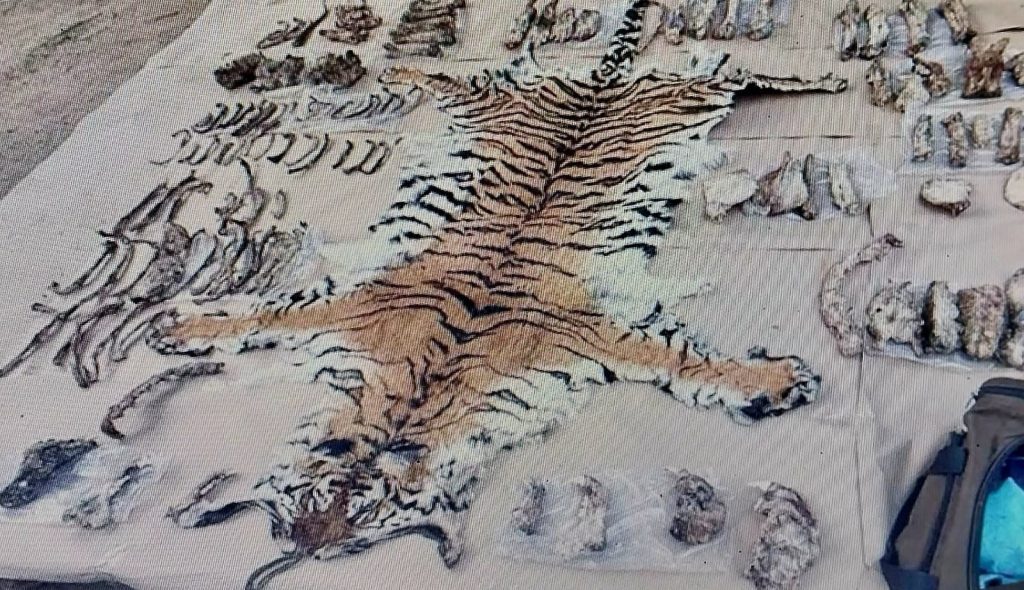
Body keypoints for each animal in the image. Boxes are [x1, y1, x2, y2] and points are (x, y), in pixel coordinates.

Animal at [27, 1, 847, 587]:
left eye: (366, 523)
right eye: (298, 516)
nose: (296, 557)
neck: (422, 381)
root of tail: (599, 82)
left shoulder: (593, 330)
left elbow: (683, 360)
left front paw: (775, 379)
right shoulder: (349, 304)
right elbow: (261, 314)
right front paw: (185, 328)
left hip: (683, 87)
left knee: (747, 75)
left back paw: (830, 79)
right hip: (510, 97)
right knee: (458, 80)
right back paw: (404, 75)